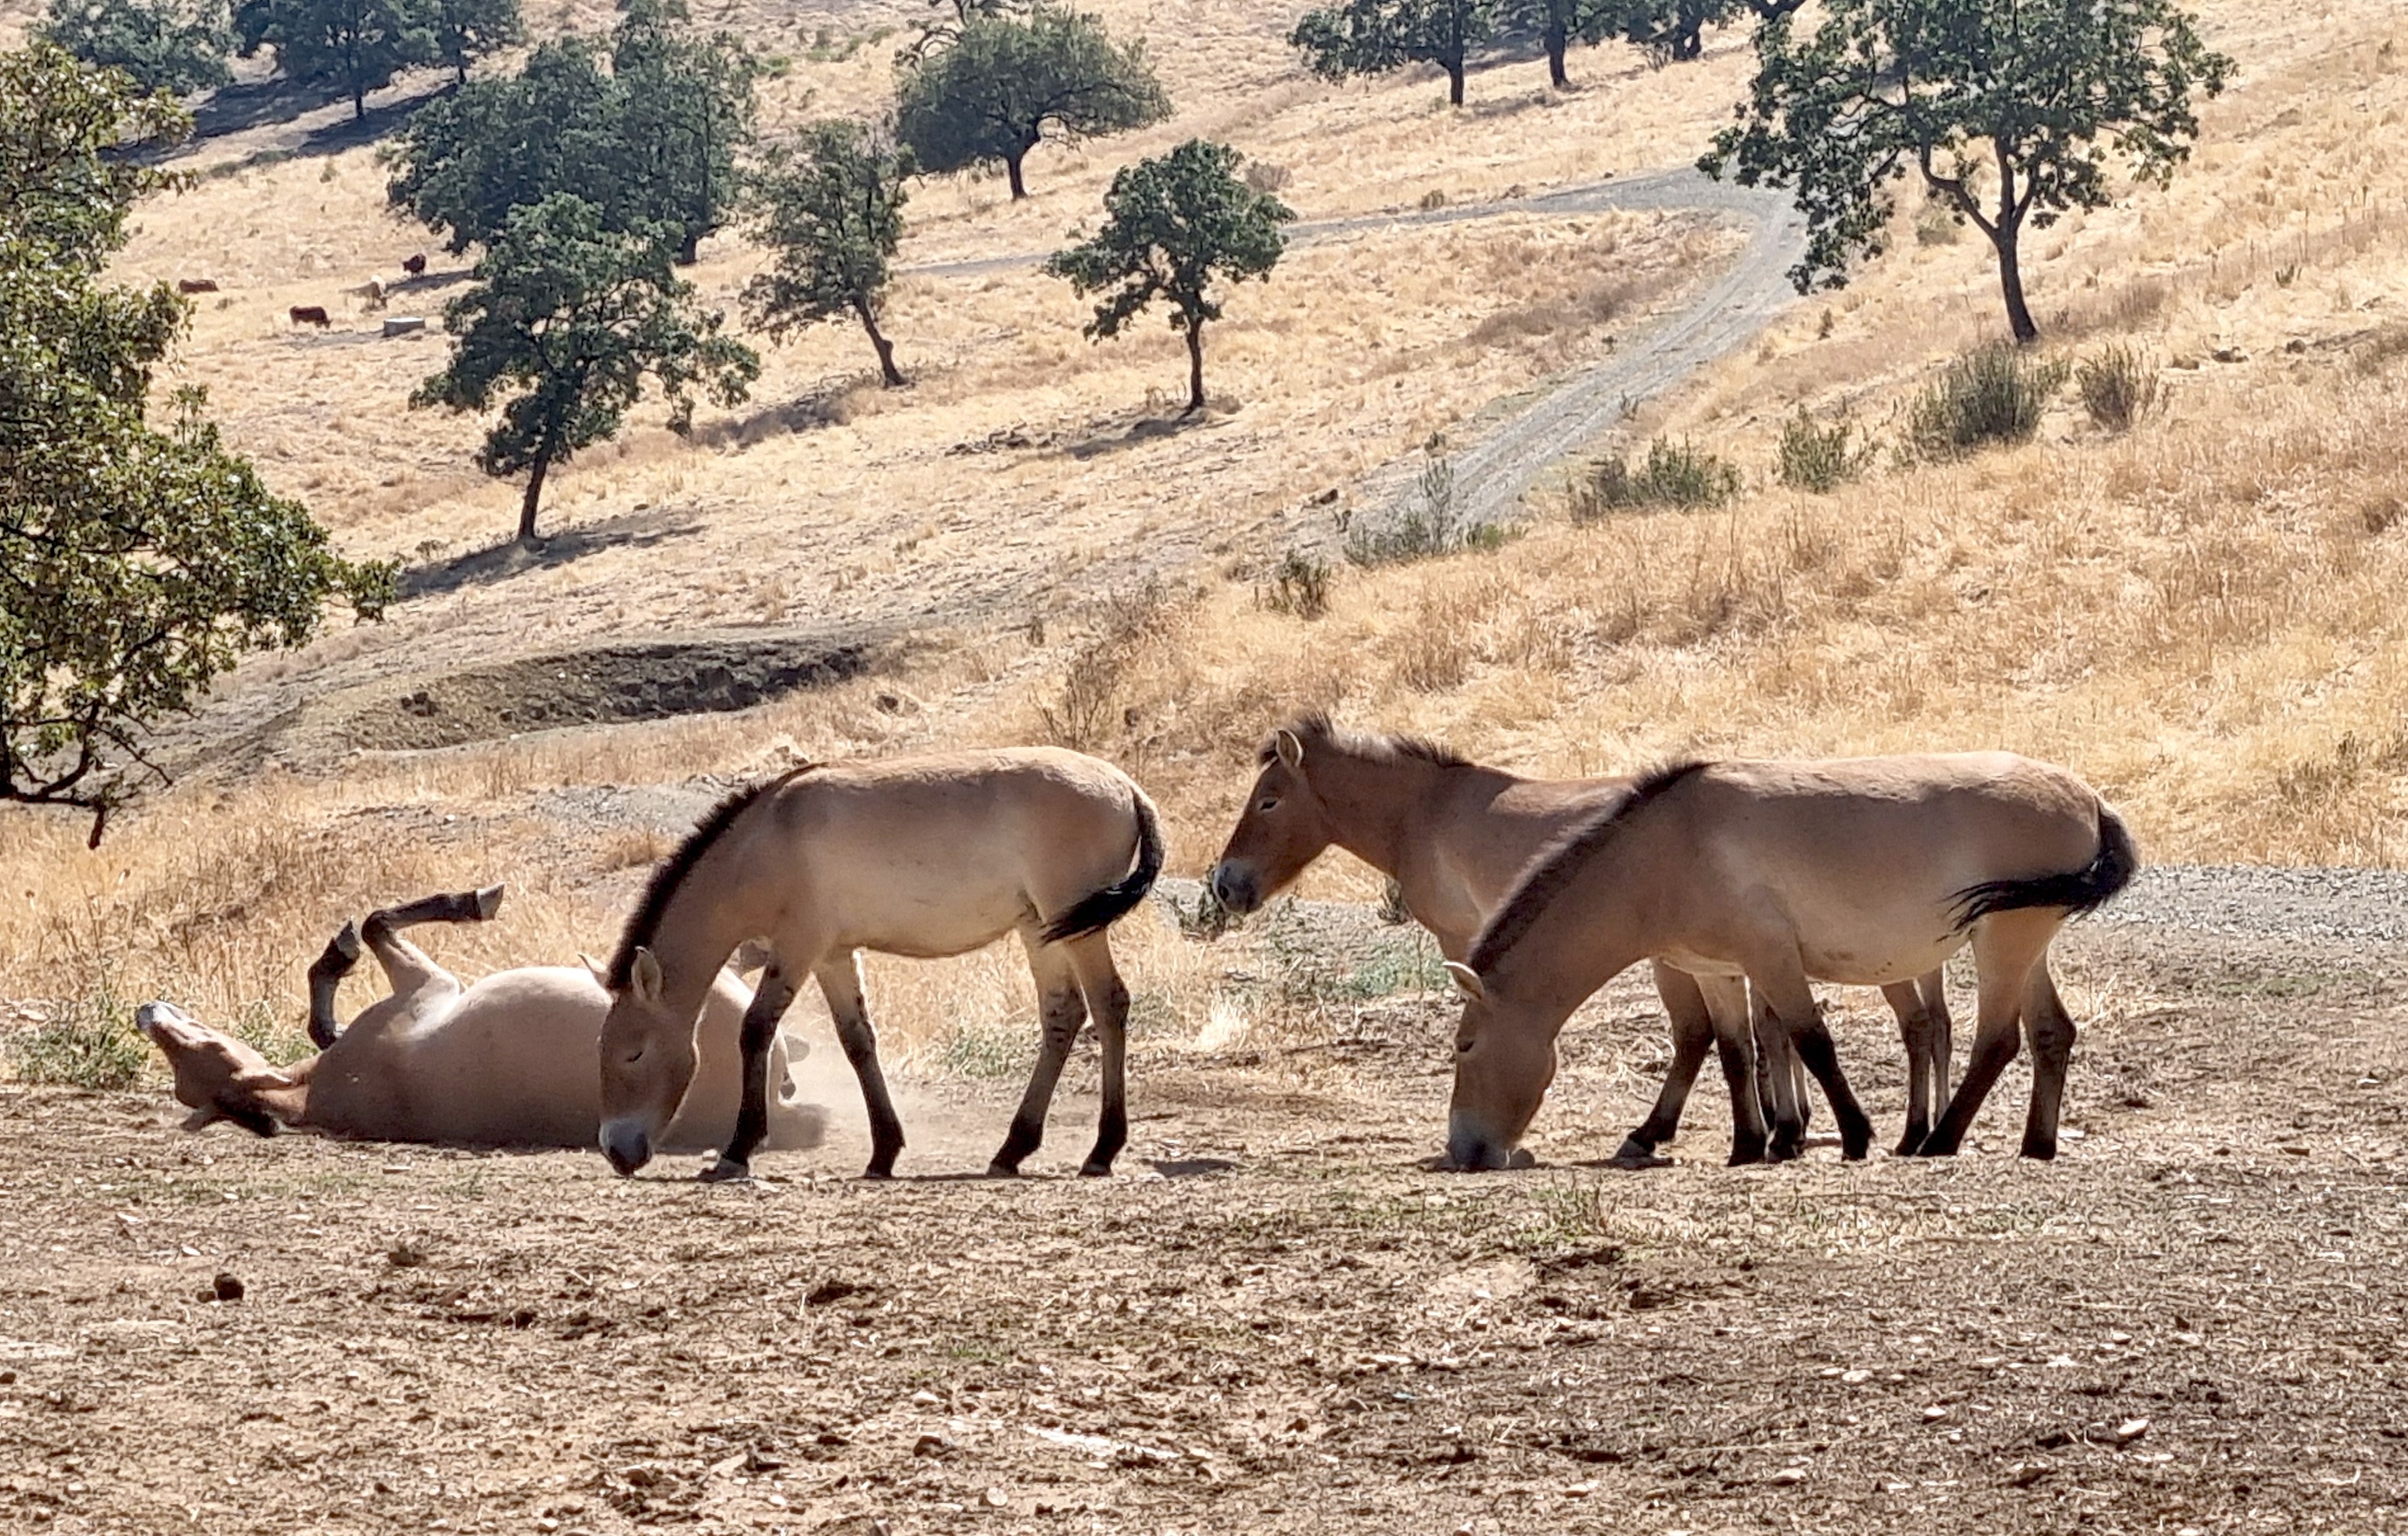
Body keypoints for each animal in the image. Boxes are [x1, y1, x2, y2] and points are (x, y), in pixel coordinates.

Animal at [138, 887, 820, 1151]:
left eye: (198, 1049)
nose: (148, 1012)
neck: (320, 1091)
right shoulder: (428, 985)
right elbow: (376, 924)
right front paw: (475, 901)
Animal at [598, 748, 1164, 1183]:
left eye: (633, 1053)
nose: (616, 1150)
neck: (768, 838)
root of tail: (1128, 789)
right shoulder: (831, 956)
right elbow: (858, 1041)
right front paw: (883, 1152)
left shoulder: (798, 948)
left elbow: (756, 1029)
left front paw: (736, 1151)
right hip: (1041, 929)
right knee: (1063, 1015)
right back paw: (1012, 1150)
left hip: (1077, 928)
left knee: (1109, 1005)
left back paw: (1102, 1151)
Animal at [1444, 755, 2137, 1171]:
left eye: (1465, 1046)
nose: (1462, 1150)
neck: (1666, 850)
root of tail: (2088, 797)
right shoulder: (1717, 971)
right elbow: (1736, 1051)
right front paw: (1748, 1145)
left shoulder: (1771, 958)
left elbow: (1812, 1041)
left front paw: (1853, 1137)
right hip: (2028, 946)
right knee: (2051, 1033)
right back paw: (2035, 1145)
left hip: (2002, 941)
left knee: (1996, 1040)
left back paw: (1939, 1141)